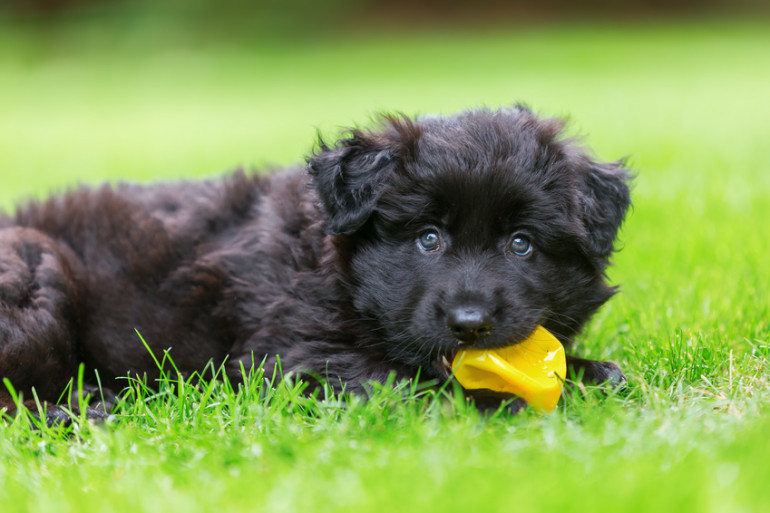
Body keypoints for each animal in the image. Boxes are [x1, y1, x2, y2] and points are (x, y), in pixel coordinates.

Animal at [0, 106, 628, 418]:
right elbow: (409, 384)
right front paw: (503, 400)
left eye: (521, 244)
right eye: (427, 238)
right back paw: (83, 409)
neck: (336, 271)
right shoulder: (301, 353)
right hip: (37, 275)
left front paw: (597, 374)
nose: (470, 325)